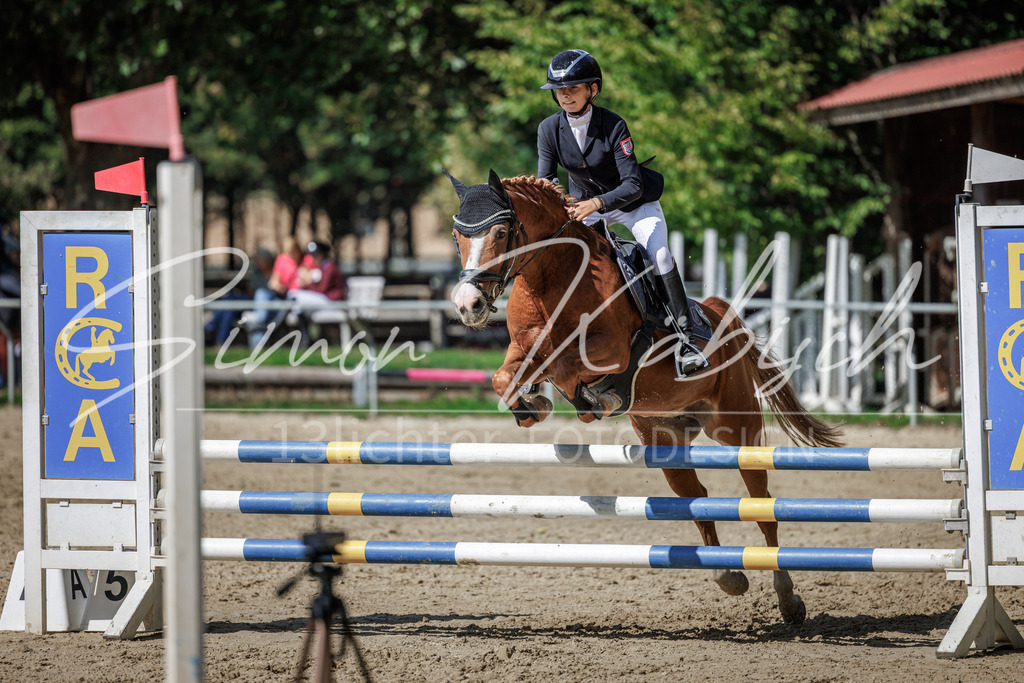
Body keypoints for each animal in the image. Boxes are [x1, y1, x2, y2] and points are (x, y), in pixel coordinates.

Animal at [446, 169, 844, 625]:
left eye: (500, 232)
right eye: (457, 235)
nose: (469, 304)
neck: (553, 277)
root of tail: (722, 315)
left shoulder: (610, 349)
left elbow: (564, 363)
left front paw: (584, 400)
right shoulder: (523, 347)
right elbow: (505, 377)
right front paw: (534, 406)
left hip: (738, 429)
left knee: (762, 504)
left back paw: (787, 598)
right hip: (665, 440)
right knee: (696, 500)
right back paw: (728, 576)